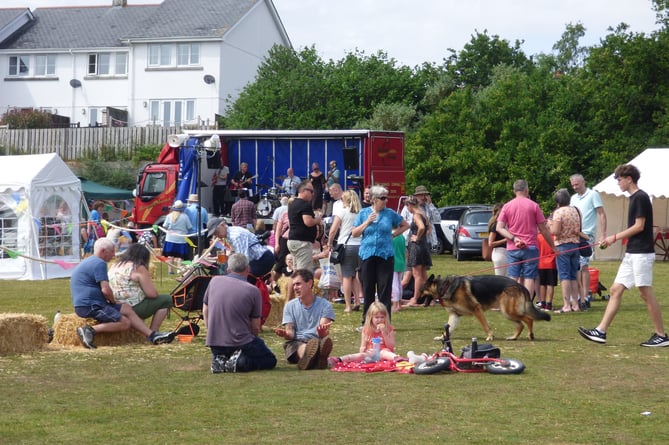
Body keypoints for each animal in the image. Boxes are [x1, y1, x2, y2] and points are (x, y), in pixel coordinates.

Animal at [420, 274, 552, 340]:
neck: (444, 287)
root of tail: (520, 285)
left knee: (528, 319)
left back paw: (530, 335)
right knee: (520, 325)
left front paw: (490, 336)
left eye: (421, 290)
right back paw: (513, 337)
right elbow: (448, 328)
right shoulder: (454, 315)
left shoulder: (477, 310)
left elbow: (485, 325)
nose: (416, 298)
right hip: (507, 313)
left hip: (509, 312)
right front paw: (442, 337)